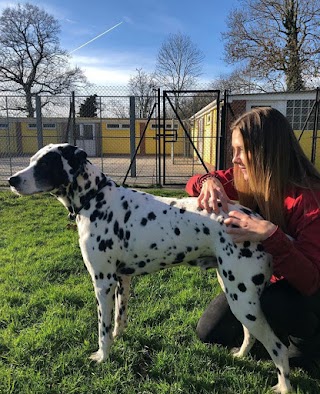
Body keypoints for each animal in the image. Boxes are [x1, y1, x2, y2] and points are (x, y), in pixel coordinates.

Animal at [8, 145, 292, 394]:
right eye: (32, 160)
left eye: (46, 163)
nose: (12, 180)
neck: (96, 199)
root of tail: (258, 222)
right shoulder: (122, 281)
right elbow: (118, 320)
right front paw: (118, 339)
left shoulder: (102, 283)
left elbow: (102, 329)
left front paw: (102, 357)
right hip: (237, 295)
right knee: (250, 335)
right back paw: (241, 355)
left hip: (242, 301)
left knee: (278, 347)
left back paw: (284, 387)